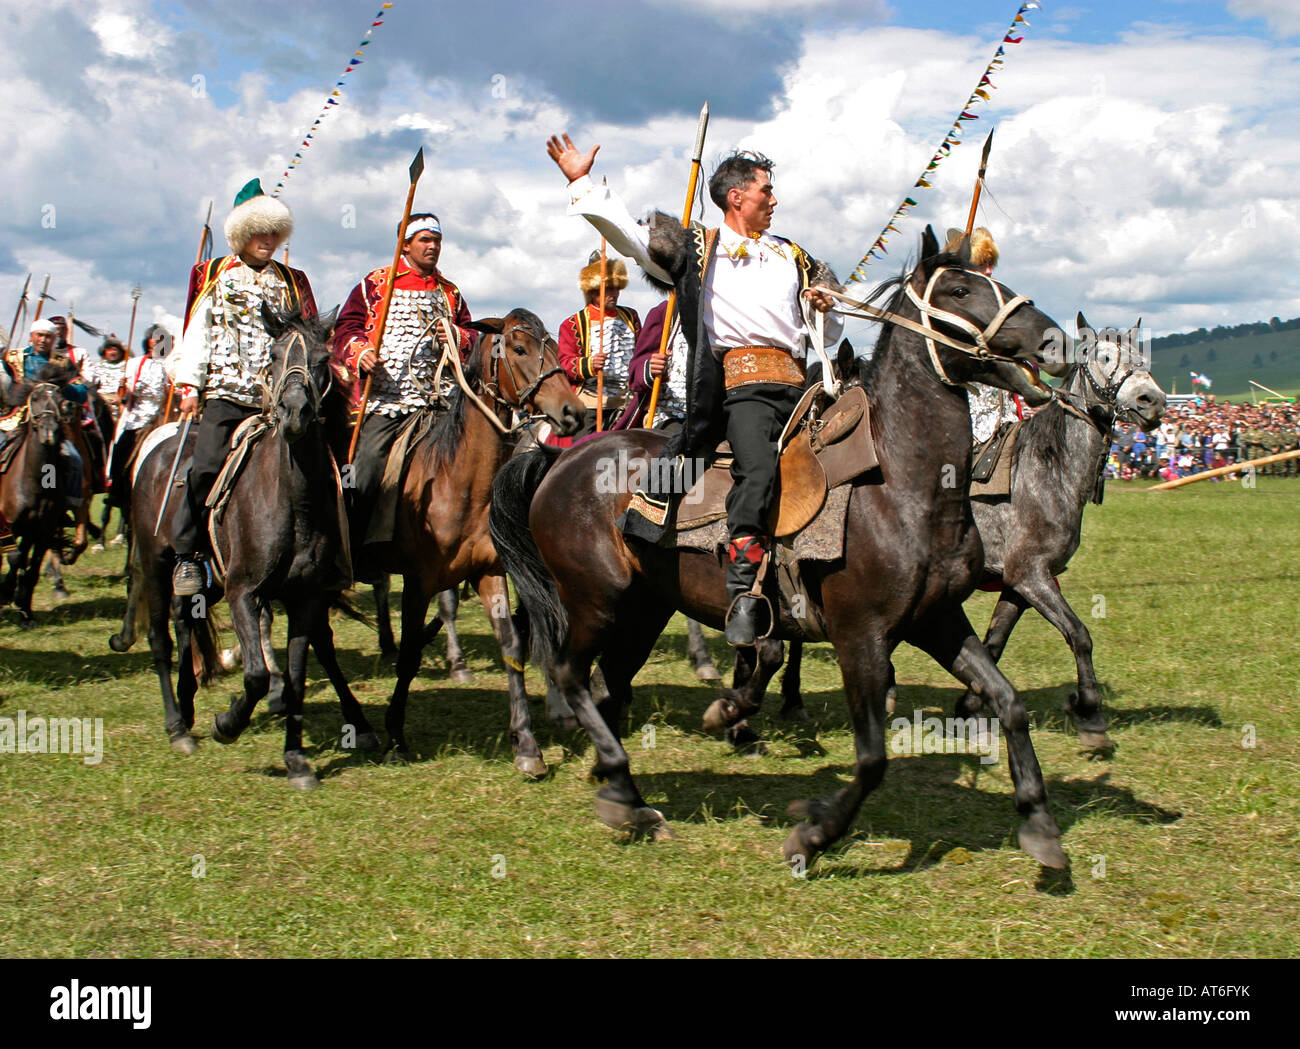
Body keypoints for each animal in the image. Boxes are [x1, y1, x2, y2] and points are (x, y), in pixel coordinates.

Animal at [377, 305, 579, 769]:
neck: (458, 480)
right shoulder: (418, 581)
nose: (572, 411)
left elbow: (513, 645)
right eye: (519, 348)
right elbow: (413, 653)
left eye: (553, 345)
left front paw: (527, 745)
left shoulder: (491, 572)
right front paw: (394, 731)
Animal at [491, 231, 1071, 878]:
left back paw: (623, 789)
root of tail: (560, 458)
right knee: (570, 673)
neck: (902, 486)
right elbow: (872, 757)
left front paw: (1039, 822)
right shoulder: (861, 636)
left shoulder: (936, 619)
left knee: (610, 684)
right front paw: (812, 835)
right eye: (960, 290)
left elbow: (1008, 702)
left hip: (643, 609)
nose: (1054, 340)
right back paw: (624, 788)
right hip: (595, 600)